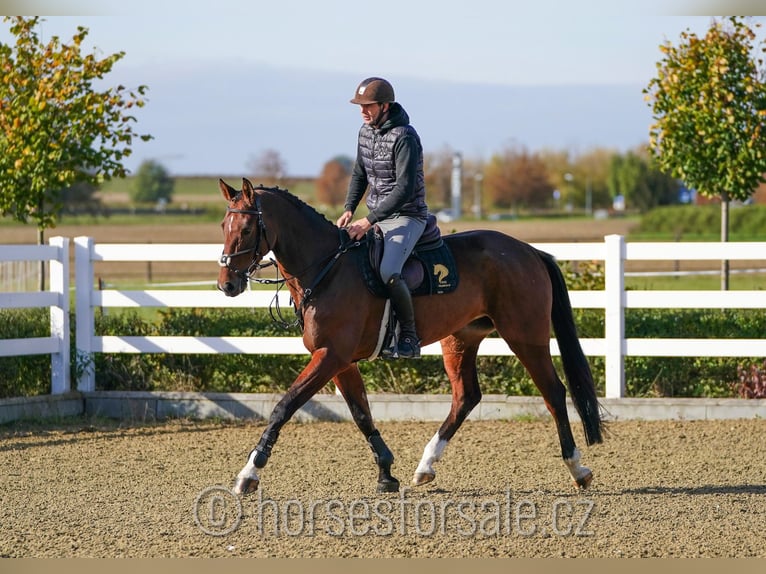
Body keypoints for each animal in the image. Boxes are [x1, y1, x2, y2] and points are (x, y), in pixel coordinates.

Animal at [218, 179, 608, 496]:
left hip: (525, 336)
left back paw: (577, 468)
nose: (227, 284)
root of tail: (529, 251)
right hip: (460, 339)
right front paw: (387, 473)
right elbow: (361, 415)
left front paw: (249, 473)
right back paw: (426, 465)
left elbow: (284, 407)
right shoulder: (340, 362)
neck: (328, 268)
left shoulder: (330, 356)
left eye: (248, 228)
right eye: (224, 225)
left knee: (554, 393)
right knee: (466, 397)